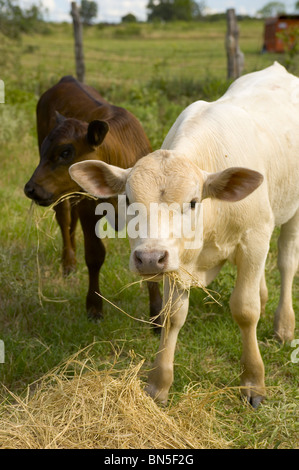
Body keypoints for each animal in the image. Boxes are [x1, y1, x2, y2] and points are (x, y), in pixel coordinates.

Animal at [24, 76, 163, 320]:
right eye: (43, 152)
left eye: (66, 152)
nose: (30, 188)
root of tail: (66, 80)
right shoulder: (89, 207)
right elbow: (94, 255)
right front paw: (94, 307)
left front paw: (157, 316)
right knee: (64, 219)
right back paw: (68, 262)